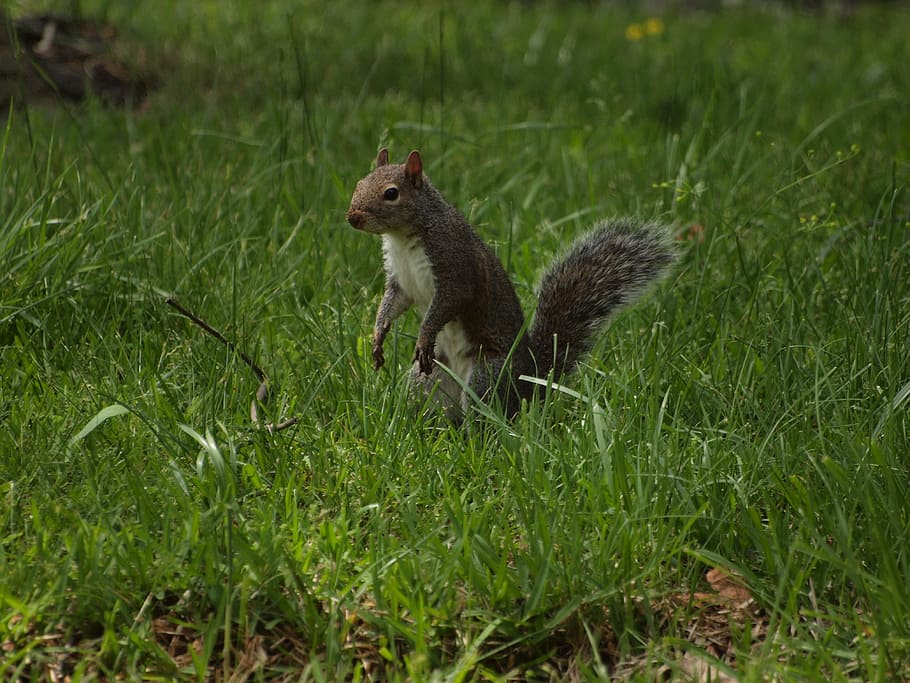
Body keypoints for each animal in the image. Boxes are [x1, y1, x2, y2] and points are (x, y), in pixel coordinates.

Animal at [346, 148, 677, 420]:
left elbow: (448, 303)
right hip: (426, 380)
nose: (352, 218)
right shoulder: (400, 281)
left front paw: (424, 335)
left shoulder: (455, 266)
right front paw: (378, 336)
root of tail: (528, 382)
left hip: (487, 377)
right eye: (359, 183)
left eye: (391, 193)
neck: (401, 237)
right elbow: (392, 304)